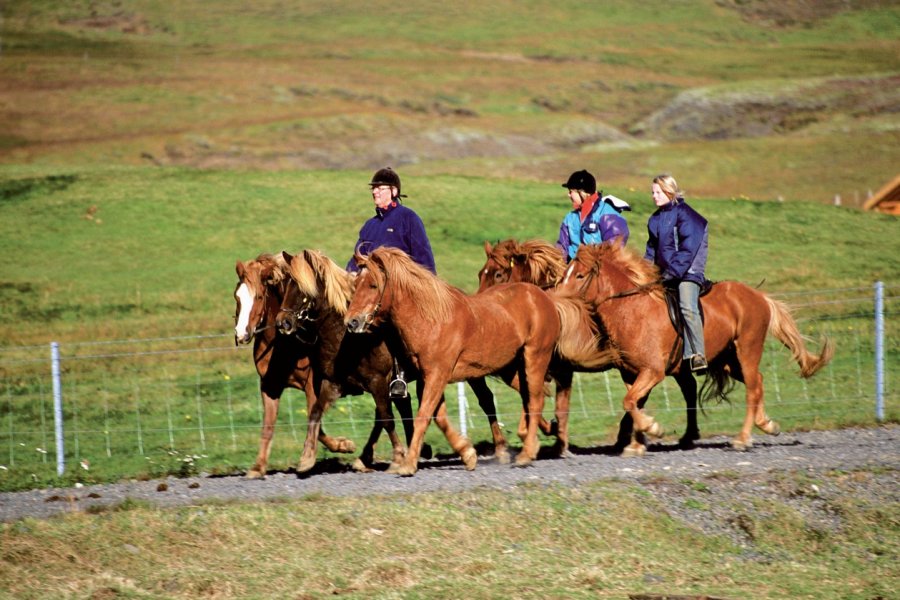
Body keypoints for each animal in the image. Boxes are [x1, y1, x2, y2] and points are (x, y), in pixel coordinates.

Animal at [232, 253, 356, 478]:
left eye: (259, 297)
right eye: (237, 297)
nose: (241, 334)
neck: (285, 344)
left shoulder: (313, 385)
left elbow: (315, 419)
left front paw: (341, 446)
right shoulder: (270, 386)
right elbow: (268, 426)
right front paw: (258, 467)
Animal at [344, 246, 604, 472]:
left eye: (373, 285)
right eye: (355, 284)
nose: (352, 322)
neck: (431, 319)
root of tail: (545, 298)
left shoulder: (437, 375)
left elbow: (423, 416)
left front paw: (408, 465)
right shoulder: (427, 379)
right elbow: (439, 417)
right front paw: (467, 454)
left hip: (535, 358)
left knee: (536, 400)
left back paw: (527, 453)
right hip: (513, 368)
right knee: (528, 397)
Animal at [478, 239, 704, 454]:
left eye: (498, 274)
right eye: (481, 274)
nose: (484, 307)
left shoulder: (560, 369)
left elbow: (549, 403)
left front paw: (555, 437)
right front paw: (553, 438)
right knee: (687, 387)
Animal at [560, 241, 832, 452]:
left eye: (580, 275)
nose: (556, 298)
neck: (633, 309)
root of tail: (759, 296)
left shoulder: (653, 372)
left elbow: (629, 402)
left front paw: (653, 428)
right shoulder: (631, 373)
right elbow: (634, 402)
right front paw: (636, 444)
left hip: (747, 350)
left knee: (753, 388)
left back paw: (743, 438)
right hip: (728, 361)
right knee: (759, 381)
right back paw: (767, 424)